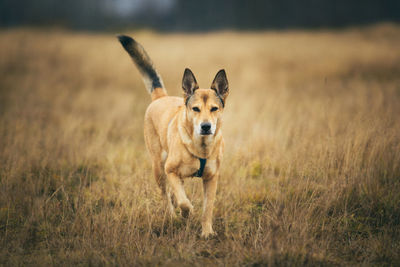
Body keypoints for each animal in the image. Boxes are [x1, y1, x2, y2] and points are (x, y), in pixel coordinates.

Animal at [117, 35, 228, 239]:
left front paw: (207, 232)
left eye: (214, 109)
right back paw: (173, 216)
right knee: (166, 195)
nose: (206, 126)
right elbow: (184, 202)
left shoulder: (212, 178)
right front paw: (186, 213)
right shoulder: (171, 171)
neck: (201, 146)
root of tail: (160, 97)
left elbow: (207, 208)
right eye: (195, 109)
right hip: (158, 168)